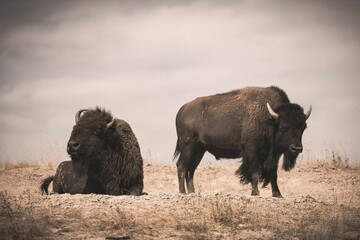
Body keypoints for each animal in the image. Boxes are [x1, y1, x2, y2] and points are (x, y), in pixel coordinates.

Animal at [173, 86, 310, 197]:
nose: (296, 148)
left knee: (191, 169)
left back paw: (192, 191)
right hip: (188, 146)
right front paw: (255, 192)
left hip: (200, 149)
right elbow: (254, 172)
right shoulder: (252, 150)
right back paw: (183, 192)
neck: (270, 119)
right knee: (182, 165)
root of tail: (181, 111)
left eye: (303, 127)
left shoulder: (273, 155)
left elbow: (273, 173)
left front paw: (278, 194)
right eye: (283, 127)